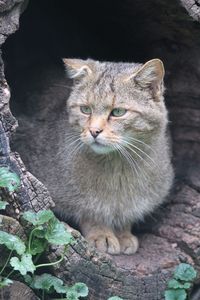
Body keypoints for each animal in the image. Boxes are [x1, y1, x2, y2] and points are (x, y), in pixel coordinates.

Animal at [13, 58, 173, 255]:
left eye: (118, 112)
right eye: (85, 109)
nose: (94, 131)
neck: (118, 167)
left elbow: (125, 214)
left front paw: (123, 234)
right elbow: (90, 212)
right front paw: (101, 234)